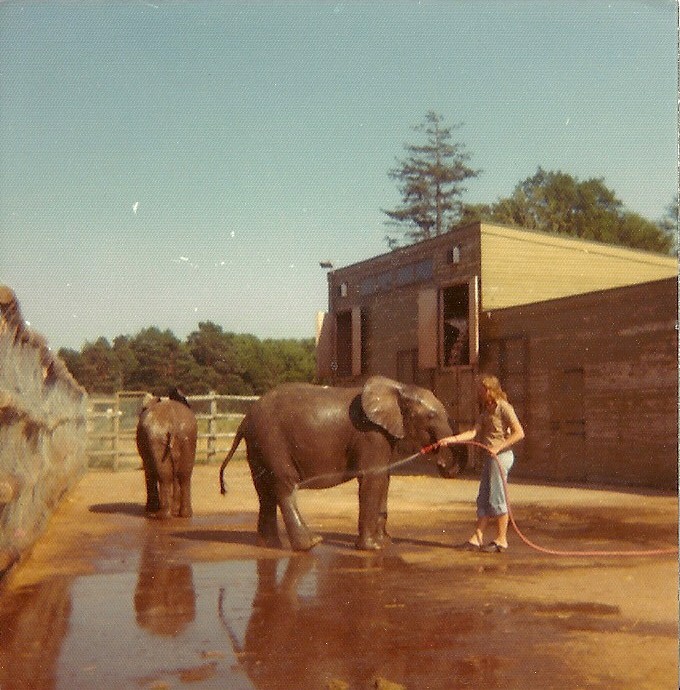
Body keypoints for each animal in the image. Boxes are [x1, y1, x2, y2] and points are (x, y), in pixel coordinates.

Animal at [136, 389, 197, 518]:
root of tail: (172, 422)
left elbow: (149, 471)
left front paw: (150, 509)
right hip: (188, 436)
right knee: (185, 475)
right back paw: (185, 514)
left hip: (157, 437)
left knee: (164, 475)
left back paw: (161, 515)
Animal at [219, 375, 456, 551]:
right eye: (431, 416)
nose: (446, 467)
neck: (399, 388)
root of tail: (244, 420)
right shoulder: (370, 435)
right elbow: (373, 480)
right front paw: (373, 548)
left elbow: (385, 480)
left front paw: (386, 543)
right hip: (272, 441)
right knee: (284, 486)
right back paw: (311, 543)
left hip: (258, 445)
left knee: (265, 492)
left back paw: (270, 545)